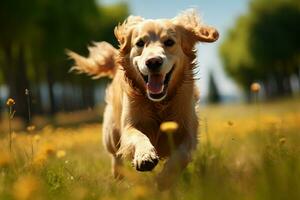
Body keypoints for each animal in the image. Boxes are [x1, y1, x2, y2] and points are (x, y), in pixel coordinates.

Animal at [68, 8, 218, 188]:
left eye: (169, 42)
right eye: (139, 43)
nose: (153, 61)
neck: (159, 103)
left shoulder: (188, 131)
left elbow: (181, 155)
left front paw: (164, 180)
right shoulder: (129, 125)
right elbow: (138, 136)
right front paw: (145, 156)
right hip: (110, 134)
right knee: (115, 156)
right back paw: (119, 179)